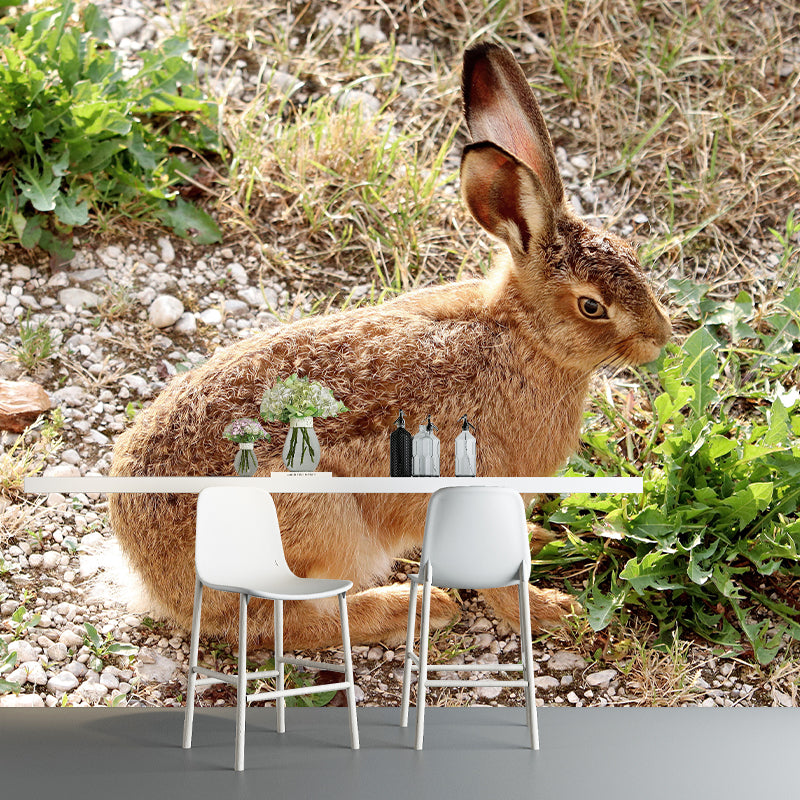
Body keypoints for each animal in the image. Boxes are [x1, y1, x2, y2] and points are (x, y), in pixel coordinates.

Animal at [109, 41, 671, 650]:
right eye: (592, 306)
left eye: (631, 255)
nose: (661, 339)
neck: (522, 336)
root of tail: (153, 577)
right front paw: (549, 612)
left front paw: (544, 540)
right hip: (319, 520)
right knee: (282, 621)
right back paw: (415, 608)